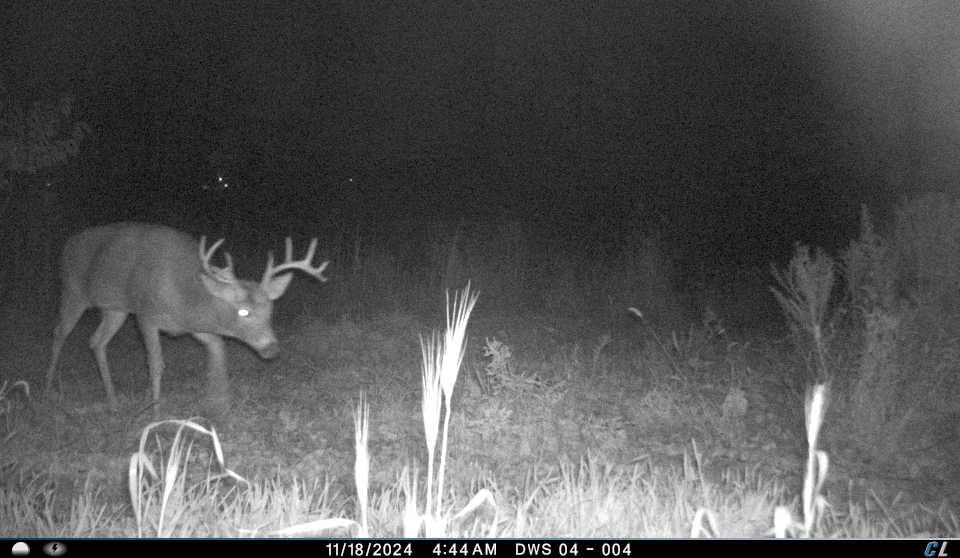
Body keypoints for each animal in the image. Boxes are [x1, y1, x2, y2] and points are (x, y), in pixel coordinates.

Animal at [44, 222, 328, 414]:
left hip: (115, 309)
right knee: (59, 332)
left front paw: (220, 406)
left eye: (270, 310)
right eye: (243, 311)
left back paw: (113, 402)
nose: (272, 349)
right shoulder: (146, 315)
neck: (186, 296)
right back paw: (48, 388)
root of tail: (66, 245)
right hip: (73, 292)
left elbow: (219, 354)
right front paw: (156, 412)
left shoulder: (194, 326)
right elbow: (155, 364)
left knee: (96, 341)